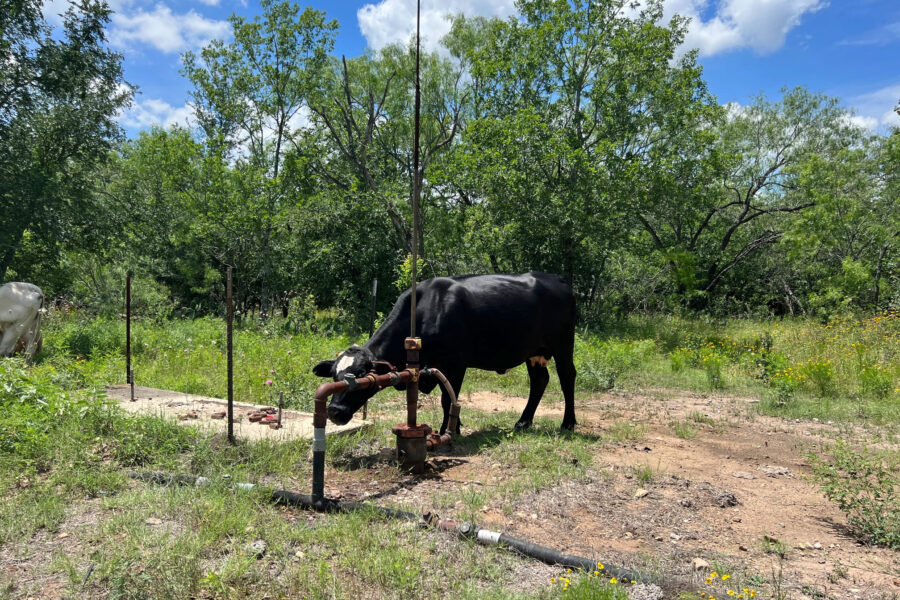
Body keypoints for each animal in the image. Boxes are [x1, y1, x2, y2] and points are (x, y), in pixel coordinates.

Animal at [312, 270, 576, 432]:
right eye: (334, 376)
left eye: (360, 376)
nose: (334, 411)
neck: (426, 310)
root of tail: (558, 280)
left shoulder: (456, 364)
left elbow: (448, 399)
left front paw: (448, 430)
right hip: (534, 352)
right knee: (540, 381)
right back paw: (523, 421)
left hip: (563, 345)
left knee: (567, 378)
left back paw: (568, 423)